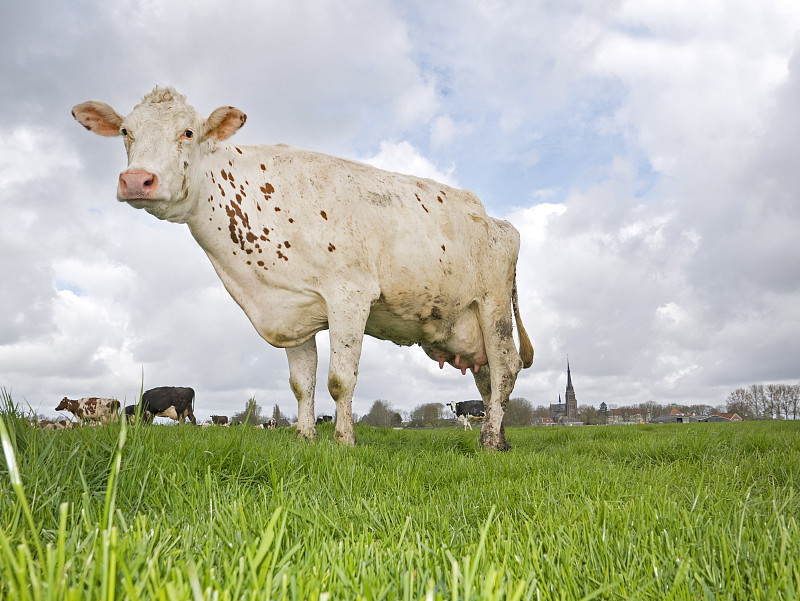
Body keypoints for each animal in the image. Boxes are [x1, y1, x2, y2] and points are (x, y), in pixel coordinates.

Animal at [72, 85, 536, 450]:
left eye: (187, 132)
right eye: (126, 132)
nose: (137, 180)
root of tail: (496, 219)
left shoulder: (349, 296)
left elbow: (339, 379)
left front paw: (344, 442)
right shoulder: (292, 311)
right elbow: (302, 383)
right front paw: (305, 437)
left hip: (493, 308)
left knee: (504, 370)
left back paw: (490, 440)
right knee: (488, 379)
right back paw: (498, 438)